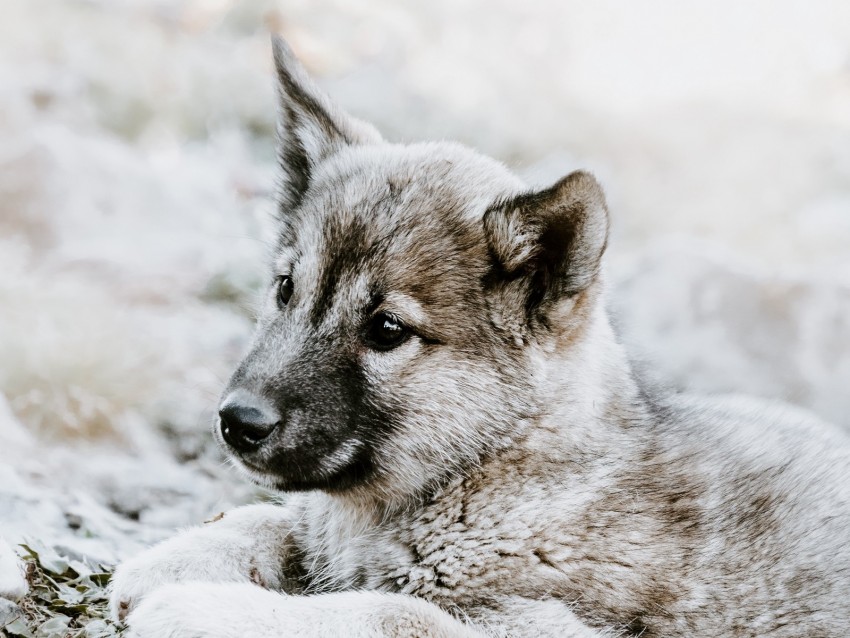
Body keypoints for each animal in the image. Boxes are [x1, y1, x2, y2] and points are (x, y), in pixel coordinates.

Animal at [109, 37, 848, 636]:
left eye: (386, 329)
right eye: (287, 289)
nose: (237, 422)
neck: (495, 472)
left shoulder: (544, 624)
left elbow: (382, 610)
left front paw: (199, 608)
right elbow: (269, 520)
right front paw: (168, 563)